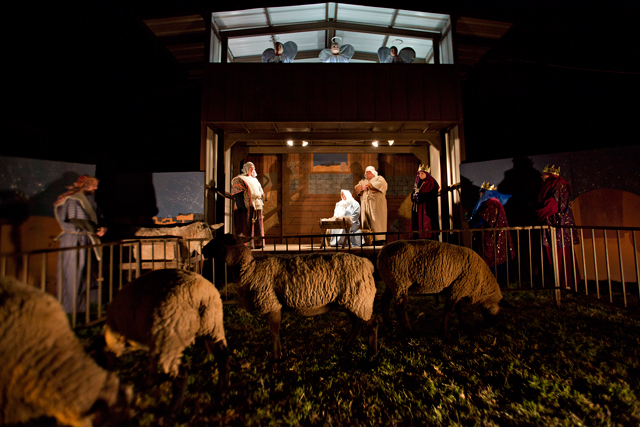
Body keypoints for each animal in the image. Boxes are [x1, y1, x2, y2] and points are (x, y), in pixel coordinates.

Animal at [101, 270, 229, 412]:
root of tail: (202, 294)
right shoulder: (153, 339)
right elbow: (152, 359)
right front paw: (151, 379)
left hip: (170, 338)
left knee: (181, 374)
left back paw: (174, 408)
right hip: (213, 327)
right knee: (223, 357)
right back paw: (222, 389)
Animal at [202, 234, 378, 362]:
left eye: (221, 241)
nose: (203, 250)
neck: (250, 269)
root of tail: (367, 263)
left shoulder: (272, 304)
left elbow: (274, 332)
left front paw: (276, 356)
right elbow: (275, 332)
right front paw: (278, 353)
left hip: (359, 299)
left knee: (372, 324)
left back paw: (372, 353)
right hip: (353, 300)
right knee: (356, 324)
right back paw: (346, 346)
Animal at [378, 239, 508, 336]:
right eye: (500, 310)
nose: (497, 327)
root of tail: (381, 253)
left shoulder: (458, 288)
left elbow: (458, 309)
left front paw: (463, 326)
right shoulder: (458, 289)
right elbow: (448, 310)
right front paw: (444, 332)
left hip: (391, 283)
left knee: (384, 301)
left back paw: (388, 327)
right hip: (400, 282)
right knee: (399, 307)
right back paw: (409, 332)